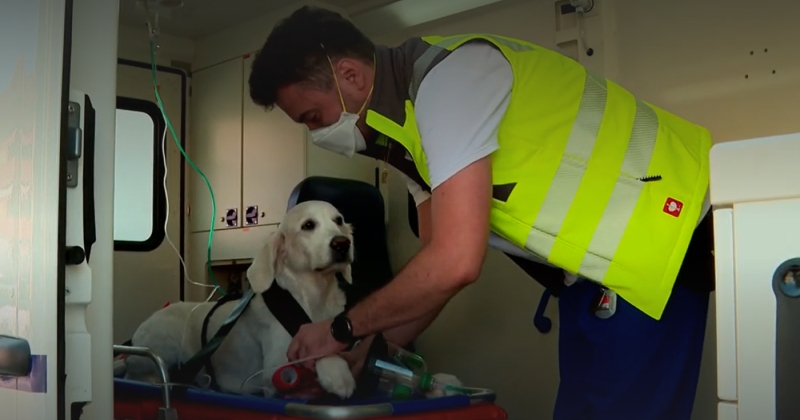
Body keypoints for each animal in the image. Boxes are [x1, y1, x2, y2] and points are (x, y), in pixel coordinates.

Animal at [124, 202, 356, 398]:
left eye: (339, 220)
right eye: (308, 225)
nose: (342, 244)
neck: (314, 295)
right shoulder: (275, 367)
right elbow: (314, 351)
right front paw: (337, 373)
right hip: (164, 347)